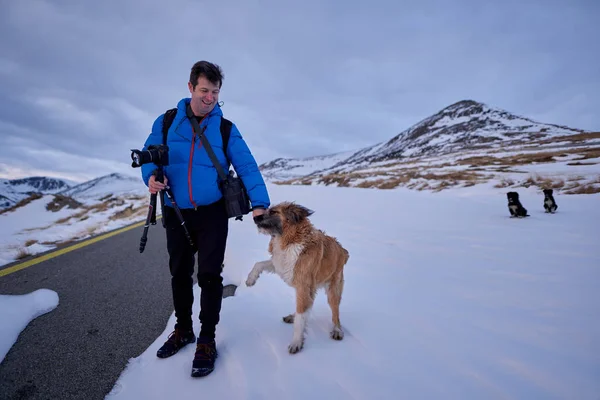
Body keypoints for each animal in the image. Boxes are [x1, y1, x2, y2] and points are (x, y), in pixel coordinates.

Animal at [245, 202, 350, 354]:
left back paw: (337, 330)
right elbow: (259, 264)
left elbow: (301, 320)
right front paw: (251, 279)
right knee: (308, 305)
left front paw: (296, 342)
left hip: (333, 289)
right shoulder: (282, 266)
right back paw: (292, 316)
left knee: (335, 313)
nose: (255, 217)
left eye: (274, 212)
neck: (289, 238)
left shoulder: (303, 286)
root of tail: (343, 250)